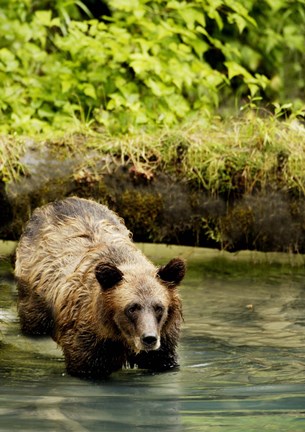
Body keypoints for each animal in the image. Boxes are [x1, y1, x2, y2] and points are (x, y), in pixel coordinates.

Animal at [14, 197, 185, 376]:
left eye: (159, 307)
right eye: (132, 308)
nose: (149, 338)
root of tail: (56, 202)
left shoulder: (163, 341)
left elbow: (163, 360)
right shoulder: (89, 338)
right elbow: (87, 365)